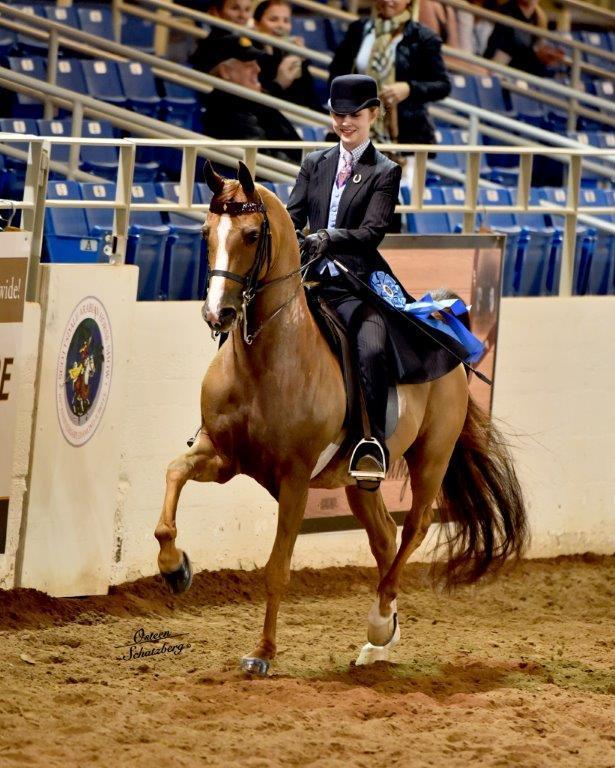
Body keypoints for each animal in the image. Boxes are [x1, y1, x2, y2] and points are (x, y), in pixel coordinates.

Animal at [154, 161, 528, 675]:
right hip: (357, 480)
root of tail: (445, 332)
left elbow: (277, 568)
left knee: (414, 528)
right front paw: (176, 568)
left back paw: (379, 622)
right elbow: (173, 478)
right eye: (207, 233)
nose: (218, 313)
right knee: (385, 537)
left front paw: (262, 653)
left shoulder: (293, 479)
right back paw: (381, 640)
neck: (268, 358)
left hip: (432, 457)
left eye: (251, 234)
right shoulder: (223, 456)